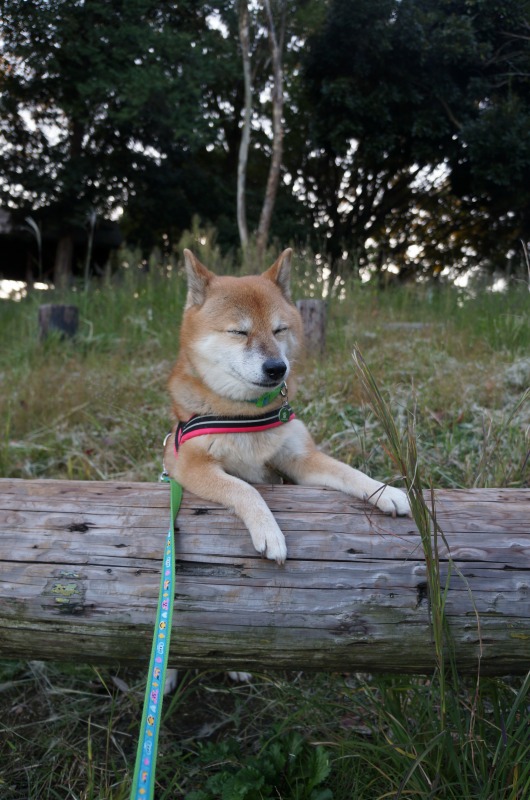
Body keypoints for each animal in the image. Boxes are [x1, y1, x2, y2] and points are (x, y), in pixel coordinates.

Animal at [163, 248, 410, 565]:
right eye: (238, 332)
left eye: (279, 329)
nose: (276, 368)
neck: (247, 413)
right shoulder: (187, 464)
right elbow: (244, 488)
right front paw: (269, 531)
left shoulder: (299, 458)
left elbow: (346, 471)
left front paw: (385, 491)